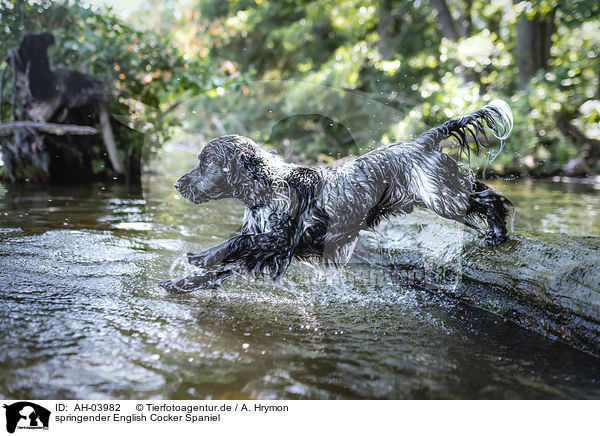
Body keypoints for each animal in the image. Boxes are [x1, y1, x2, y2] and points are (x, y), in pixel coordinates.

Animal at [158, 99, 510, 292]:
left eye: (207, 163)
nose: (177, 184)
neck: (269, 186)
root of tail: (423, 140)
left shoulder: (280, 241)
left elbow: (235, 243)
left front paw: (203, 255)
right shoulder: (265, 246)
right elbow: (222, 267)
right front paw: (179, 285)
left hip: (442, 197)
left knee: (491, 199)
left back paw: (498, 232)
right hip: (445, 191)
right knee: (481, 192)